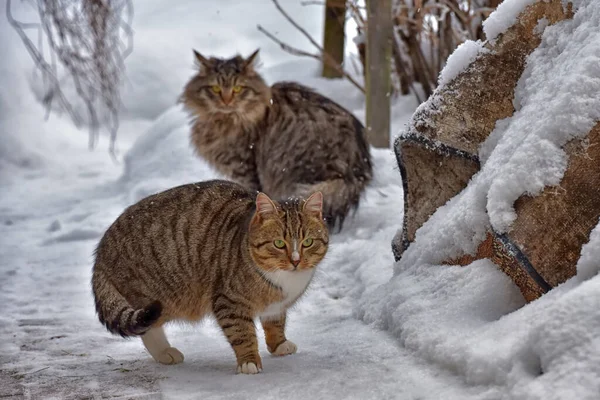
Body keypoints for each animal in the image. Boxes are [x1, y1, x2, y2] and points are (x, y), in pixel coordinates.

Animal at [91, 180, 328, 374]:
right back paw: (164, 352)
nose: (296, 260)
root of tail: (101, 250)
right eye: (279, 243)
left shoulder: (276, 306)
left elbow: (275, 322)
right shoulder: (229, 301)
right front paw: (249, 361)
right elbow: (242, 333)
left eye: (308, 242)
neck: (286, 280)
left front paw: (279, 344)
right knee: (149, 327)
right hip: (161, 294)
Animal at [180, 49, 372, 231]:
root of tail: (357, 168)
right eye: (215, 89)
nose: (226, 101)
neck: (224, 120)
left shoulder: (245, 168)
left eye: (238, 89)